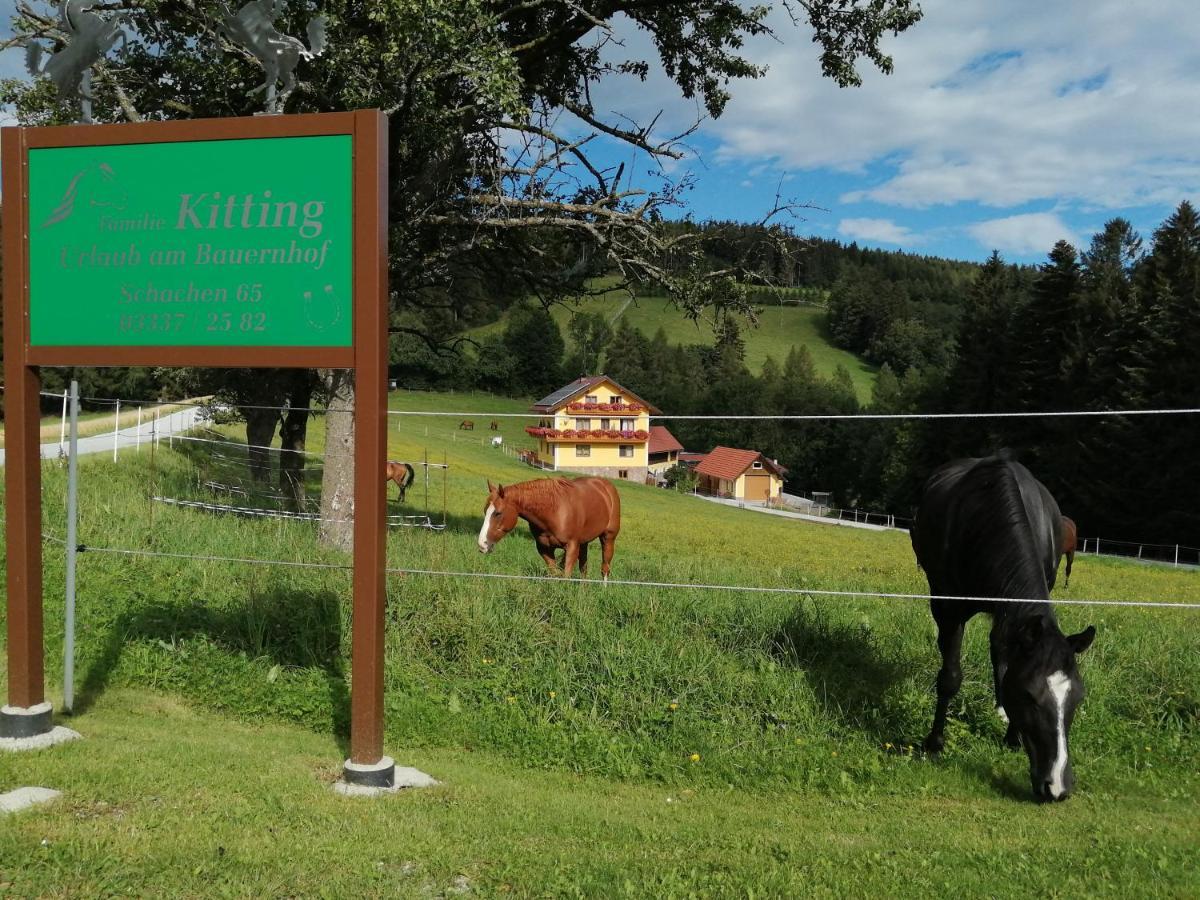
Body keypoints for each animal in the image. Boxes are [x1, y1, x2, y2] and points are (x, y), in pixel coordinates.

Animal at [480, 475, 624, 580]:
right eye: (485, 511)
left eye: (498, 513)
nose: (482, 545)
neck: (554, 511)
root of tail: (605, 485)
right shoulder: (544, 548)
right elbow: (556, 574)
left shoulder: (572, 547)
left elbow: (565, 576)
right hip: (584, 543)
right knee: (584, 569)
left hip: (608, 538)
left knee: (605, 568)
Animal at [907, 458, 1099, 801]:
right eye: (1030, 696)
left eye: (1077, 698)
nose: (1057, 787)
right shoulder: (948, 606)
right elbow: (950, 677)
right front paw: (934, 744)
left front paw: (1011, 737)